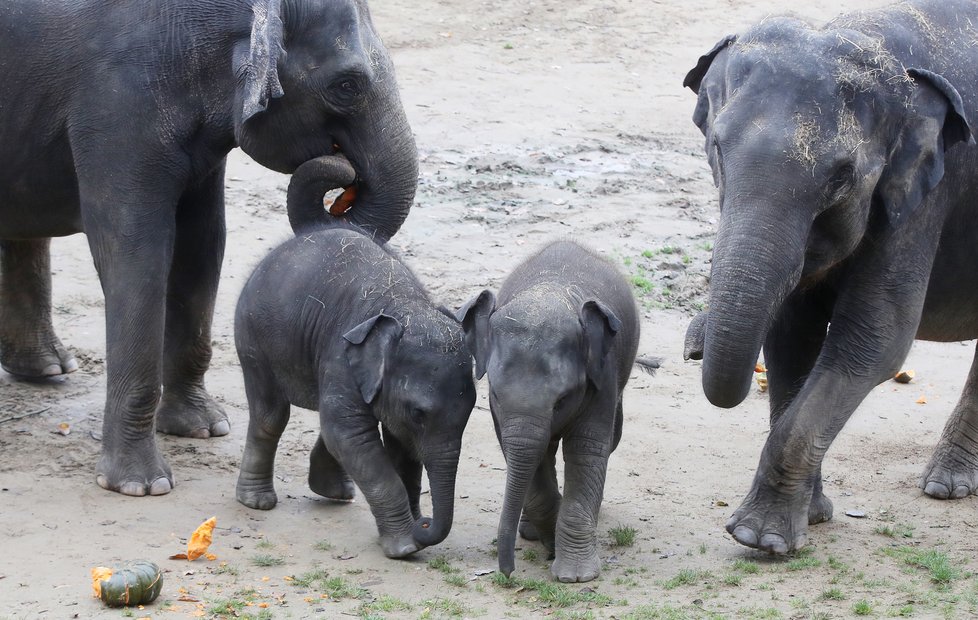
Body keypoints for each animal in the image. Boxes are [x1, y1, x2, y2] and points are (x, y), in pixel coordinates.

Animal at [0, 0, 416, 496]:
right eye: (346, 86)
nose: (345, 181)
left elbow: (202, 245)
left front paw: (203, 428)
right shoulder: (116, 104)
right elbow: (135, 250)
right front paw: (142, 486)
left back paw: (47, 369)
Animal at [234, 222, 474, 556]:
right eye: (418, 413)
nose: (425, 523)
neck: (406, 307)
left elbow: (399, 444)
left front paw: (410, 532)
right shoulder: (342, 355)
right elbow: (349, 434)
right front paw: (405, 548)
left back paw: (334, 491)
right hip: (254, 340)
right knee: (271, 415)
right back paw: (258, 502)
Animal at [458, 240, 656, 584]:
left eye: (561, 399)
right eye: (494, 394)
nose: (508, 574)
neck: (549, 292)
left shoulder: (602, 376)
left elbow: (587, 450)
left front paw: (576, 576)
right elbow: (524, 455)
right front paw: (549, 541)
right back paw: (530, 531)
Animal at [684, 0, 976, 552]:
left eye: (841, 176)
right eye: (717, 149)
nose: (692, 349)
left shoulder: (928, 196)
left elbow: (873, 339)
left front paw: (759, 538)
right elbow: (789, 333)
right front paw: (813, 517)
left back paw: (944, 487)